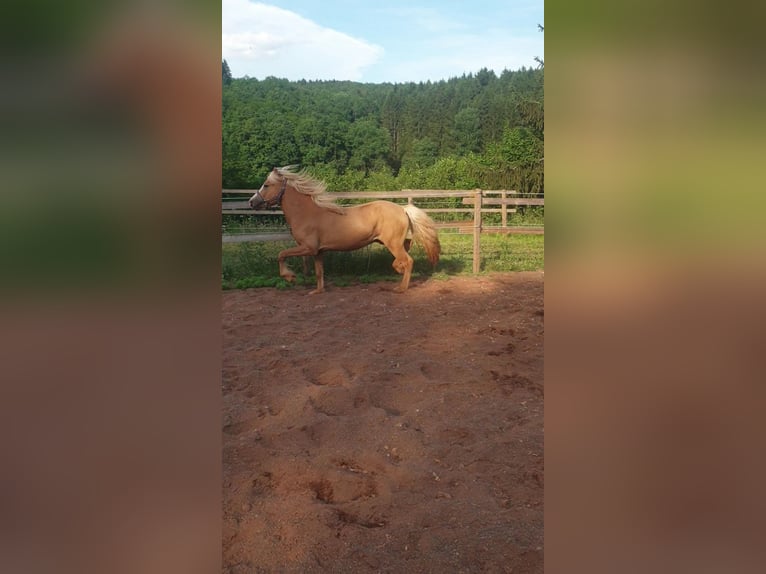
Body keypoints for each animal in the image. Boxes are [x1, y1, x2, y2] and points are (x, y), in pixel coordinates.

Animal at [249, 166, 441, 294]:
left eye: (266, 185)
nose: (251, 202)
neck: (306, 213)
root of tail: (403, 209)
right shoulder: (317, 251)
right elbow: (319, 272)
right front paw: (317, 291)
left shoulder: (307, 247)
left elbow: (281, 254)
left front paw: (290, 277)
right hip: (401, 243)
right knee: (405, 259)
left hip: (393, 244)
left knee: (407, 261)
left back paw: (400, 287)